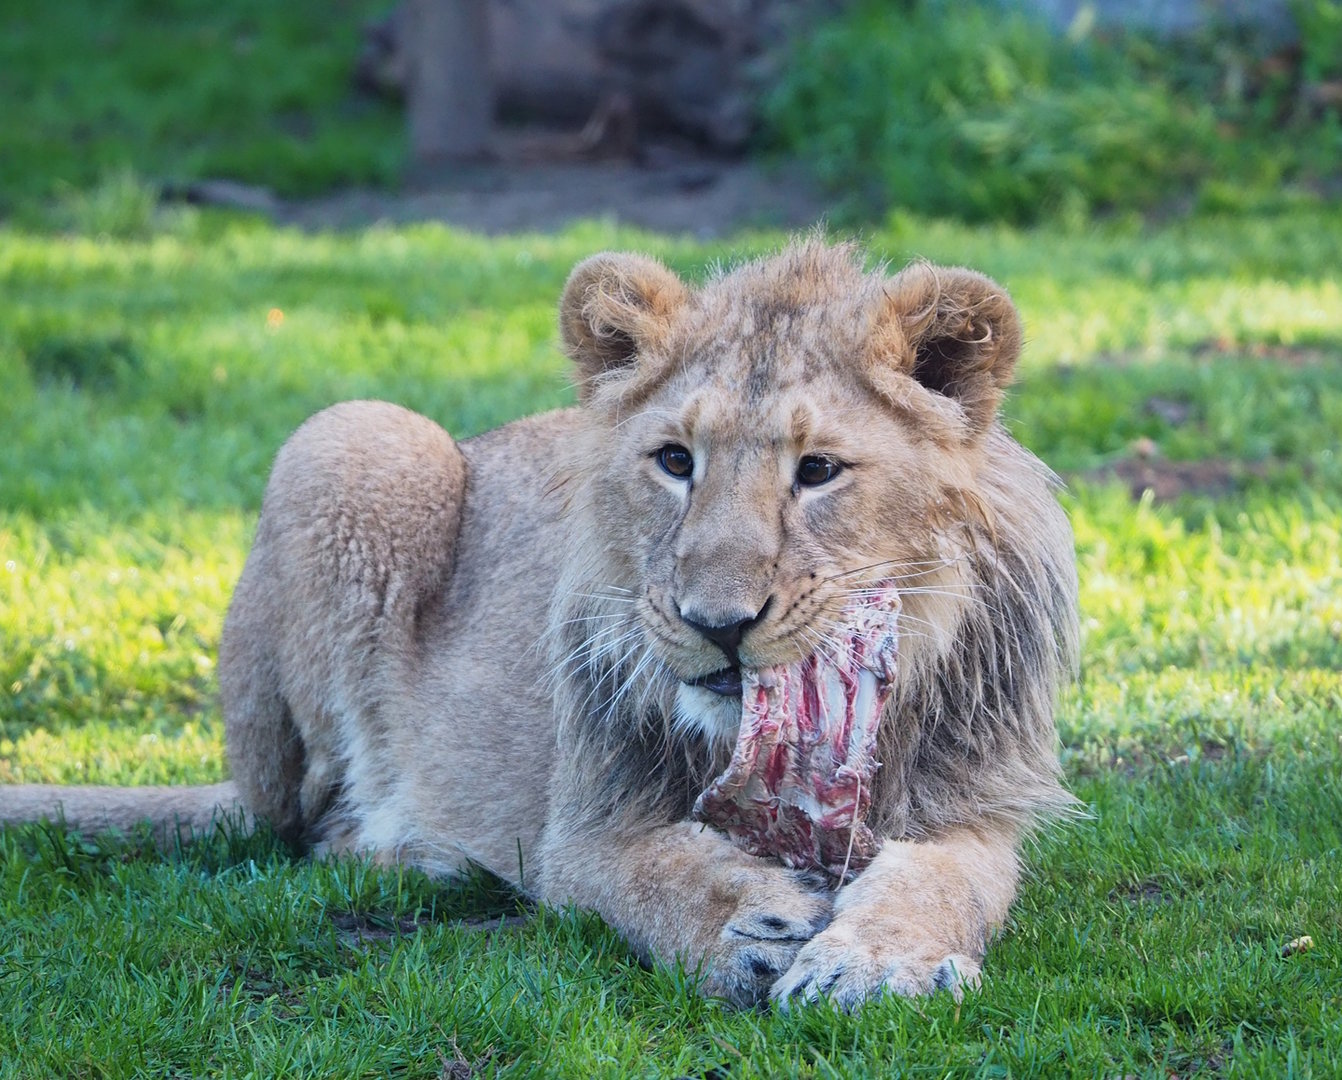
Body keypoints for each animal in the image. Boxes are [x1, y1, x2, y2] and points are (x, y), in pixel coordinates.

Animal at [0, 240, 1078, 1008]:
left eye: (817, 471)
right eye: (674, 460)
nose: (716, 623)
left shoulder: (974, 801)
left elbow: (948, 882)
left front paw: (873, 962)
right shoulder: (581, 826)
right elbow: (652, 875)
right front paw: (749, 928)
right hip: (352, 437)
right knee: (306, 825)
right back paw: (421, 849)